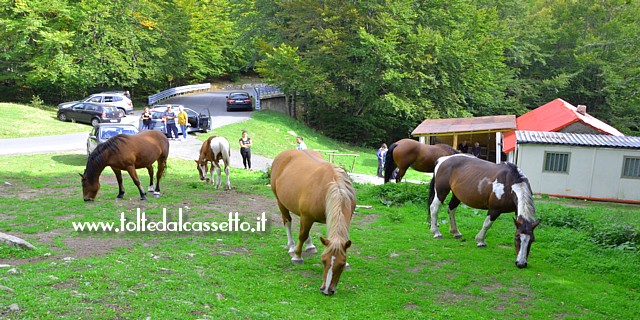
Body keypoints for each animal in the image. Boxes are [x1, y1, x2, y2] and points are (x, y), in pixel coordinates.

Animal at [268, 149, 356, 296]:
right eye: (323, 260)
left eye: (342, 264)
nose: (326, 290)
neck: (333, 187)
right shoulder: (307, 217)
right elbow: (302, 235)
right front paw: (297, 256)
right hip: (281, 202)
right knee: (288, 222)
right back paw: (291, 246)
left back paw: (310, 246)